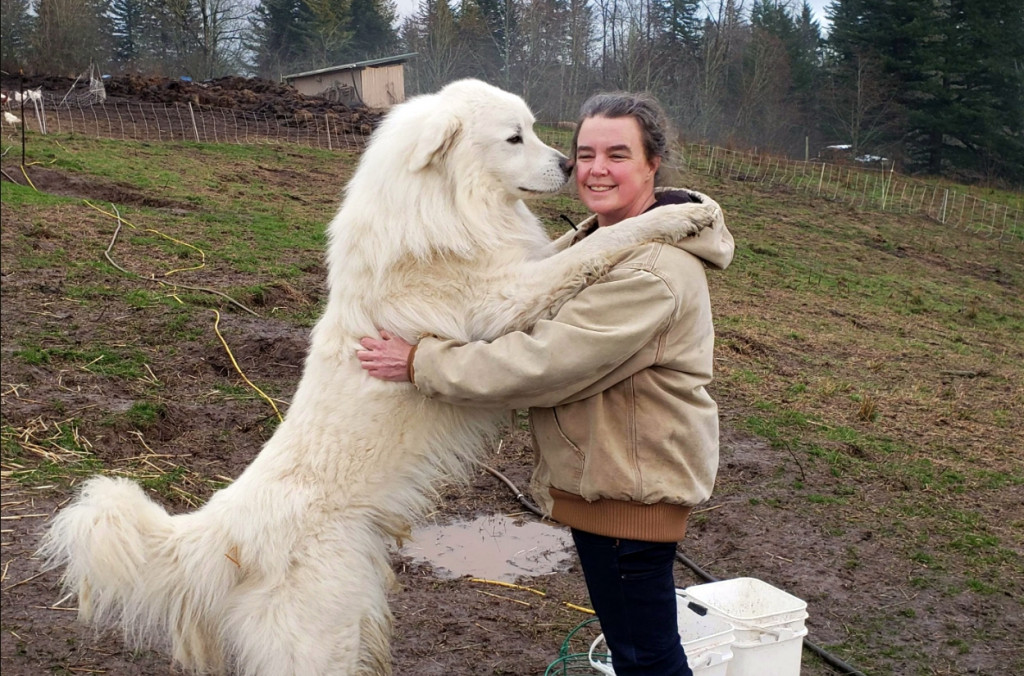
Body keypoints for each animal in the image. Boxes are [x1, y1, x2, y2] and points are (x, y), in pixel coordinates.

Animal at [39, 80, 720, 676]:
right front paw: (682, 219)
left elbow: (575, 241)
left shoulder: (520, 266)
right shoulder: (506, 301)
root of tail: (226, 527)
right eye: (514, 137)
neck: (443, 202)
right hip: (322, 641)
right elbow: (600, 246)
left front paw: (677, 203)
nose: (569, 166)